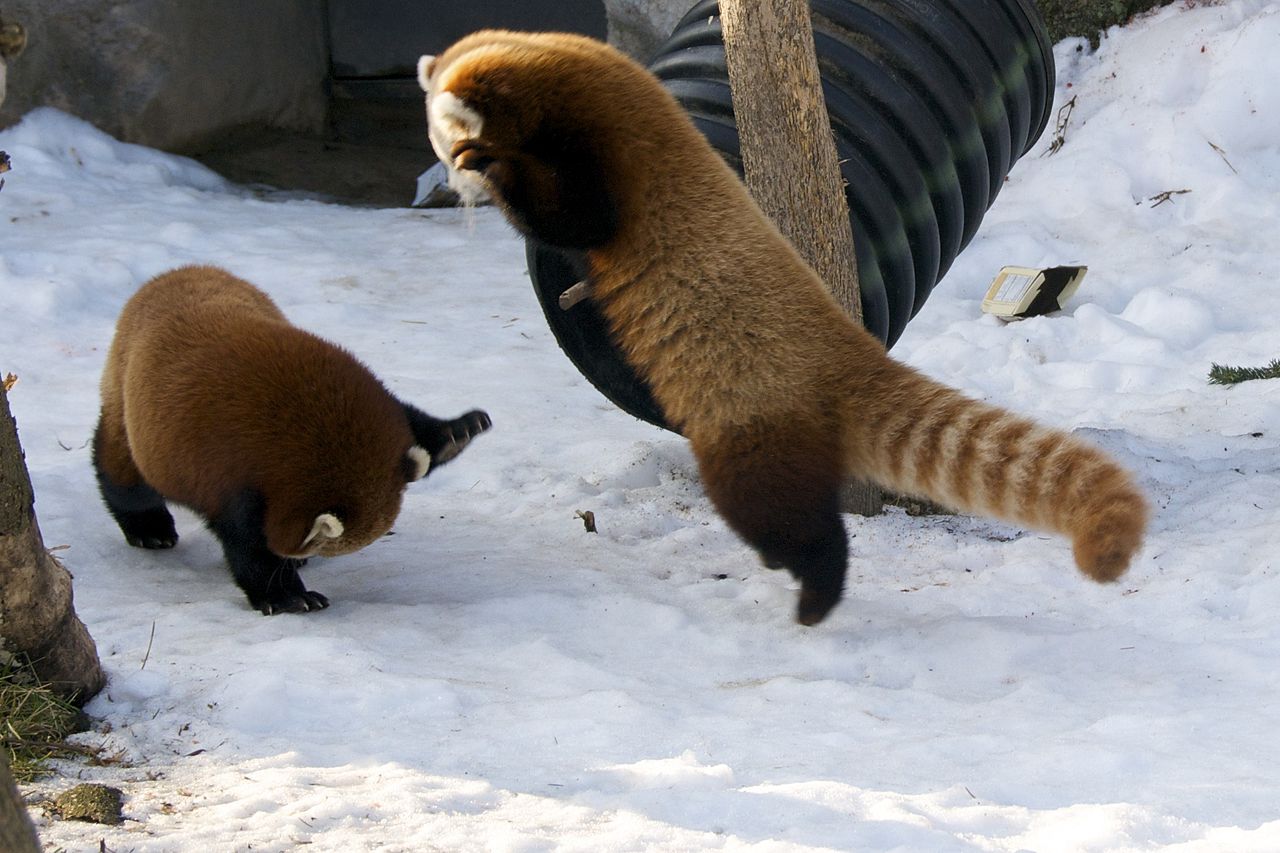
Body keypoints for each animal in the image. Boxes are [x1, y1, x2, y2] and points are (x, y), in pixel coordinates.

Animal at [92, 266, 491, 612]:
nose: (295, 557)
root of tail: (173, 273)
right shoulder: (232, 475)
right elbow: (248, 545)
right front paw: (286, 594)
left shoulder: (364, 394)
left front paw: (453, 433)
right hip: (129, 407)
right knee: (123, 474)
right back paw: (149, 528)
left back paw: (454, 434)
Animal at [417, 31, 1152, 625]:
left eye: (445, 146)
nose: (451, 184)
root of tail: (845, 355)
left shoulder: (609, 162)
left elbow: (573, 219)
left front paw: (497, 176)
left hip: (751, 419)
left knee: (782, 517)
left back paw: (816, 589)